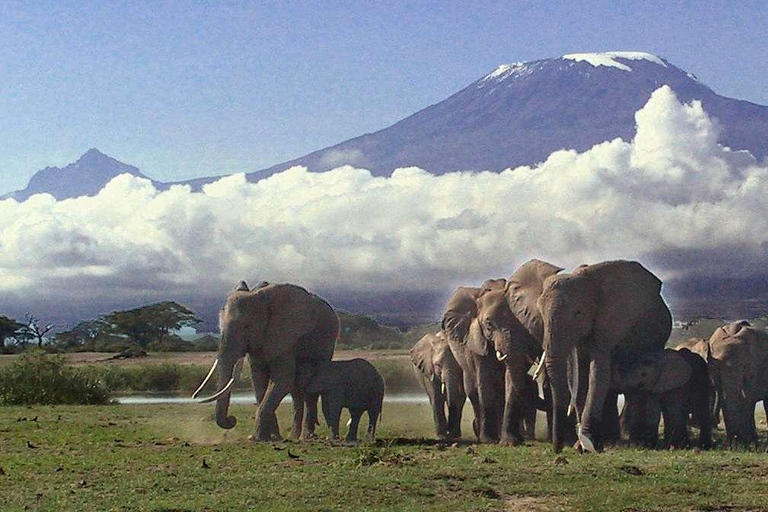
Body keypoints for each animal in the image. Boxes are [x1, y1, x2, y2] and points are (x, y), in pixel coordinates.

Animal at [194, 280, 338, 440]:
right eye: (220, 327)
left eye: (246, 326)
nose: (232, 419)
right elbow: (258, 381)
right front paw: (272, 438)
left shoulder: (285, 335)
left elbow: (282, 380)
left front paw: (256, 438)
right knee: (297, 389)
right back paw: (293, 437)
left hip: (327, 341)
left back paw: (306, 436)